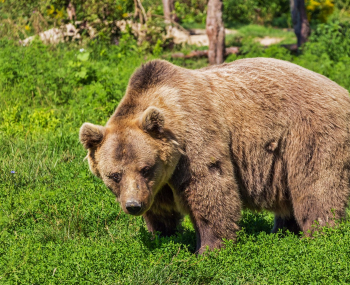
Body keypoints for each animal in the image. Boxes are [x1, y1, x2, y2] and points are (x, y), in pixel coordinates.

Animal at [79, 57, 350, 253]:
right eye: (114, 175)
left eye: (145, 168)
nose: (133, 205)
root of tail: (343, 91)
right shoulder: (160, 181)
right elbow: (161, 210)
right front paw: (163, 237)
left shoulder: (196, 139)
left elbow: (210, 190)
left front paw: (208, 249)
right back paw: (282, 232)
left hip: (310, 134)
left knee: (316, 187)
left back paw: (319, 236)